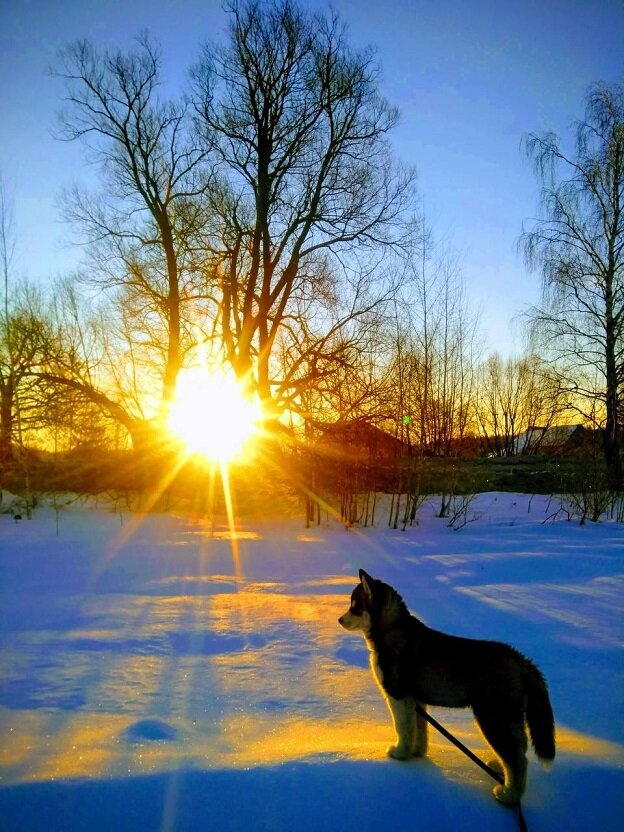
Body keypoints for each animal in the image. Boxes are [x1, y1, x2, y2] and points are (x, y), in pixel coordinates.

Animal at [342, 568, 556, 804]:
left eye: (355, 606)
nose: (339, 620)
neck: (392, 628)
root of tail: (521, 661)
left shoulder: (397, 694)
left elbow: (403, 728)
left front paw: (400, 753)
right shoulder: (415, 700)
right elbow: (419, 730)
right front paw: (417, 753)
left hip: (493, 718)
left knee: (518, 759)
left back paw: (509, 796)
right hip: (507, 719)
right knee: (518, 750)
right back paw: (499, 769)